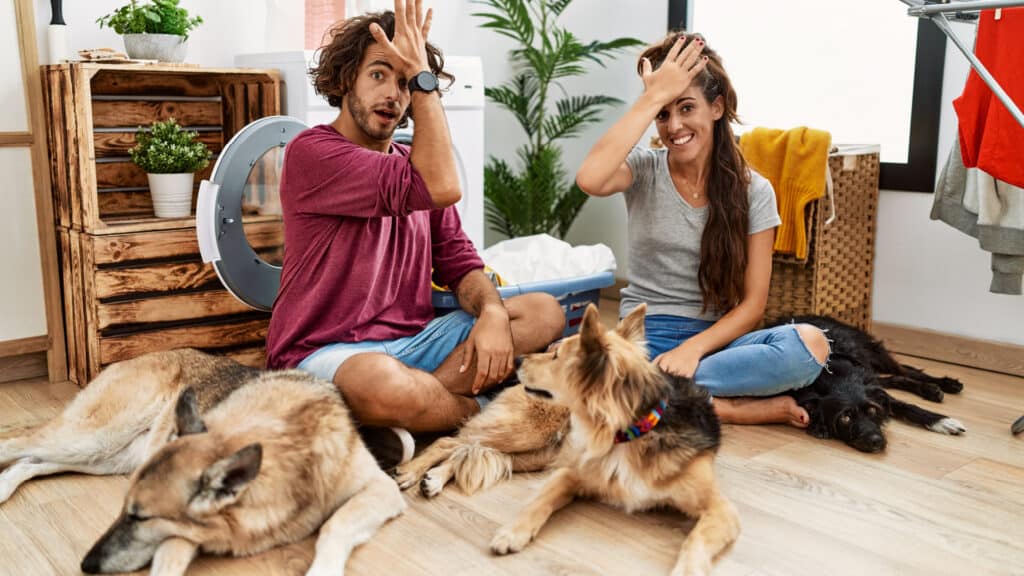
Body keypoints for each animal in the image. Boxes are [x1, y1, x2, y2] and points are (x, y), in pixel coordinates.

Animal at [0, 348, 407, 573]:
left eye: (138, 517)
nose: (86, 565)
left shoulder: (381, 489)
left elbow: (335, 526)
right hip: (92, 437)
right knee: (15, 444)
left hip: (105, 456)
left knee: (31, 461)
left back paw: (5, 486)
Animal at [397, 303, 737, 569]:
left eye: (555, 355)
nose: (517, 360)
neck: (631, 433)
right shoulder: (571, 474)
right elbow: (539, 503)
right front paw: (511, 533)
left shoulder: (721, 510)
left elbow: (695, 542)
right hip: (527, 432)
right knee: (452, 441)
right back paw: (412, 472)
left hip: (535, 454)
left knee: (465, 450)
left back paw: (434, 478)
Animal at [770, 315, 966, 450]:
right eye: (845, 418)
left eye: (872, 410)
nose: (876, 441)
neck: (832, 378)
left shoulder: (873, 392)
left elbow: (907, 407)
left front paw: (942, 421)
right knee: (893, 378)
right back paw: (931, 389)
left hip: (871, 353)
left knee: (906, 371)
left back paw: (943, 385)